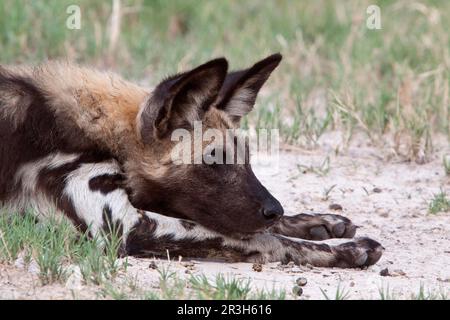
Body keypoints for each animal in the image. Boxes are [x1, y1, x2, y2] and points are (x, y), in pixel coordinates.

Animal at [0, 54, 384, 268]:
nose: (274, 209)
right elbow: (257, 239)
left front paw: (321, 222)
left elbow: (248, 228)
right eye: (214, 162)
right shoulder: (124, 226)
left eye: (248, 159)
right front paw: (346, 250)